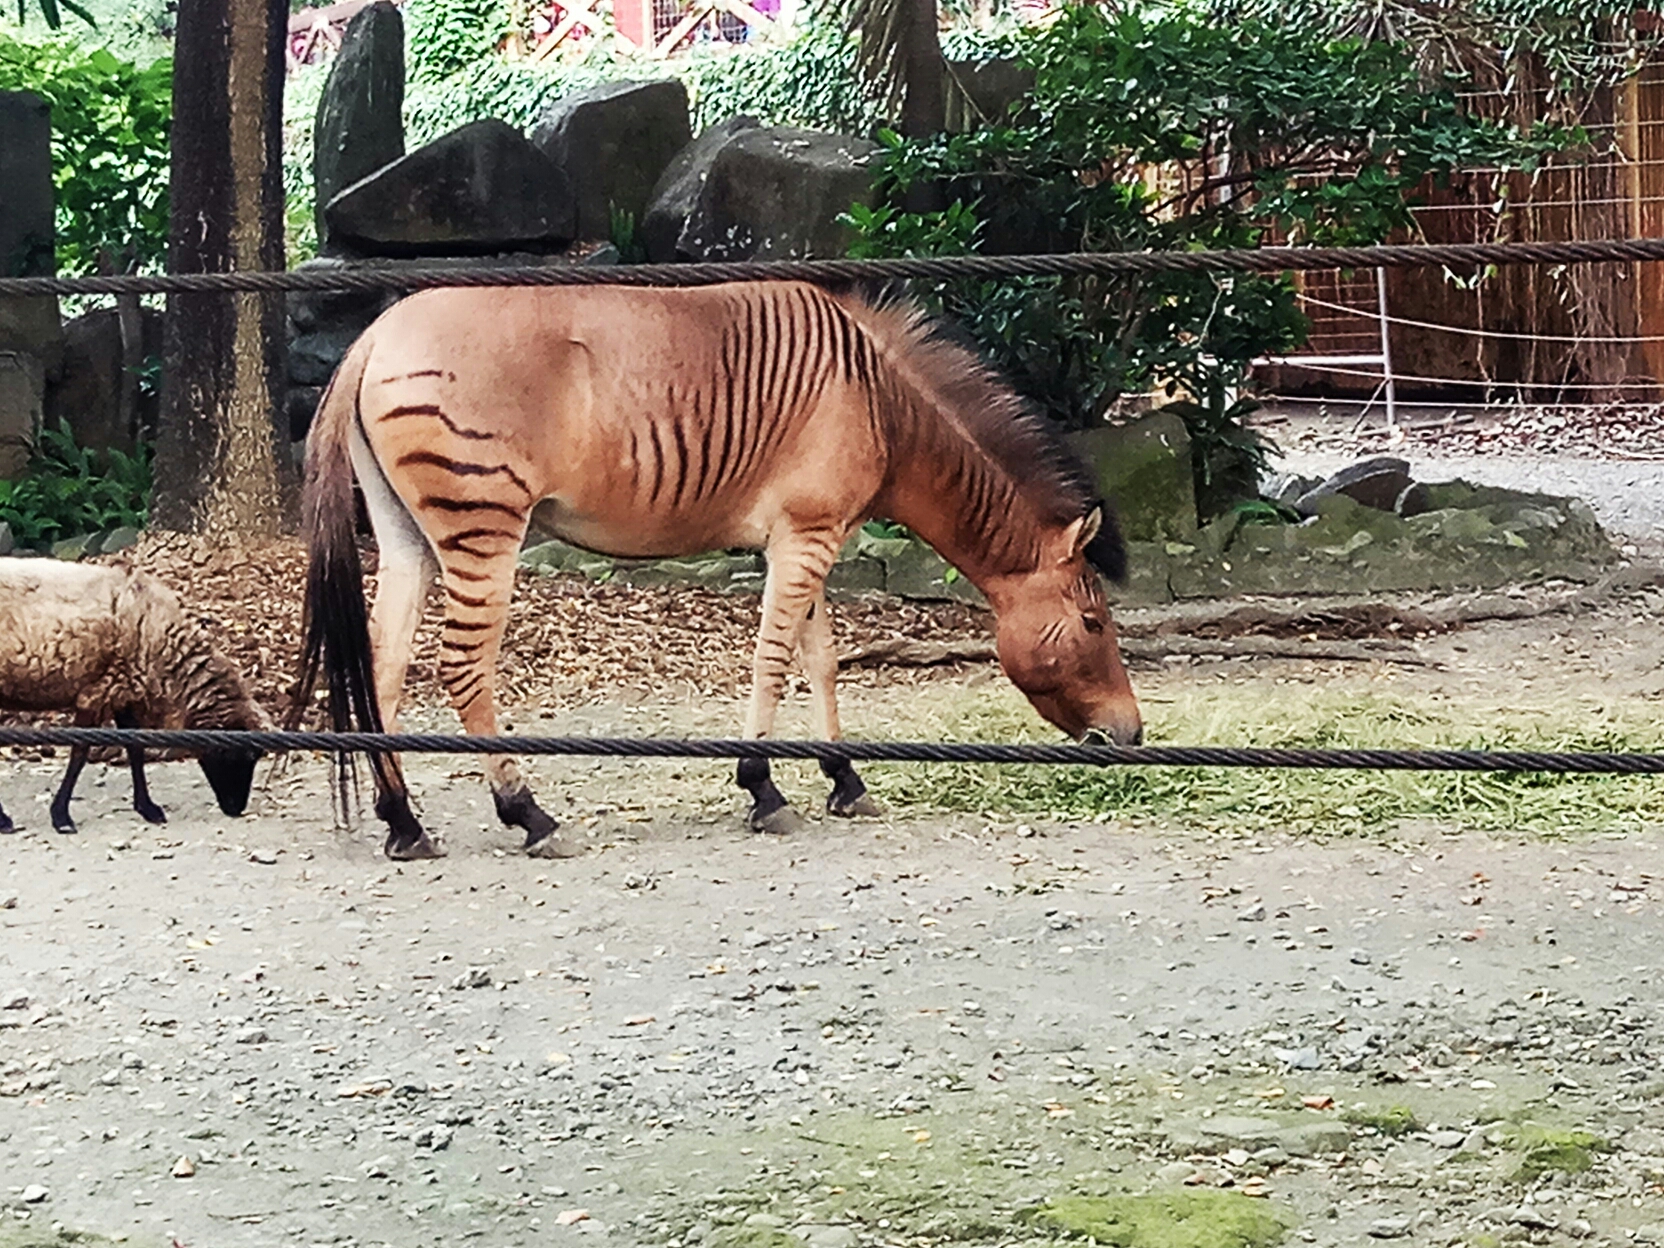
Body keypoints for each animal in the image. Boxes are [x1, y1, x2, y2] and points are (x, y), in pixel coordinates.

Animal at [0, 559, 266, 835]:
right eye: (239, 754)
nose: (235, 809)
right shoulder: (96, 692)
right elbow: (80, 753)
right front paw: (61, 816)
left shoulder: (124, 691)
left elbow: (135, 746)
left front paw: (148, 808)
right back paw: (3, 820)